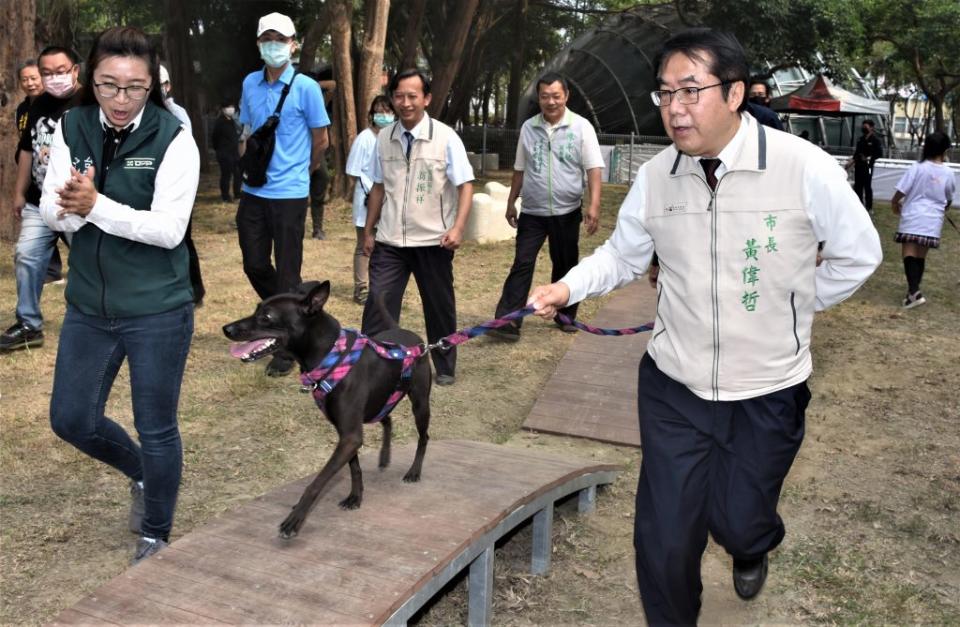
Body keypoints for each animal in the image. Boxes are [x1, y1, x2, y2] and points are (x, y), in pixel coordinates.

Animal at [221, 280, 432, 540]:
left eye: (267, 316)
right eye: (256, 309)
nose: (226, 328)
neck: (332, 356)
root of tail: (409, 335)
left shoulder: (349, 437)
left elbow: (317, 482)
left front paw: (295, 518)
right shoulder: (347, 435)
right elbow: (355, 469)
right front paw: (355, 497)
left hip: (420, 404)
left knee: (423, 437)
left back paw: (414, 471)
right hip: (379, 401)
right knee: (387, 419)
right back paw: (384, 457)